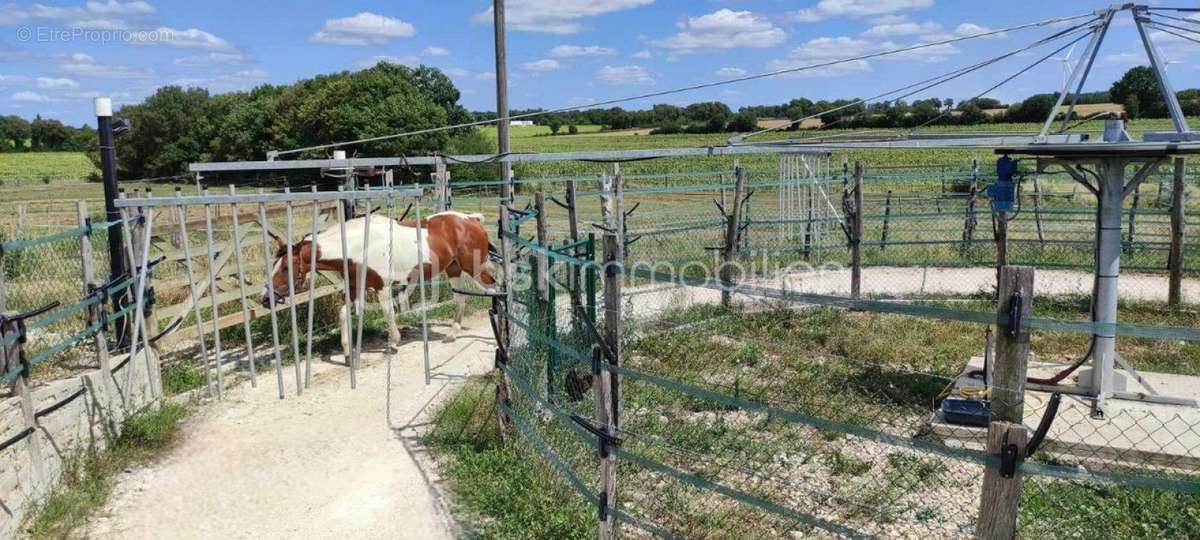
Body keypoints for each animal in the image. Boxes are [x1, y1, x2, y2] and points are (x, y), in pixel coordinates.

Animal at [266, 208, 496, 352]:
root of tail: (470, 219)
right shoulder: (355, 287)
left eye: (286, 267)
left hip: (473, 268)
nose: (265, 298)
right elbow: (343, 313)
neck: (358, 246)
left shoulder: (382, 286)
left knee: (494, 289)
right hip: (454, 270)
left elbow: (388, 312)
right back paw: (452, 335)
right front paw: (347, 352)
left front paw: (394, 343)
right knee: (461, 300)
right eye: (274, 265)